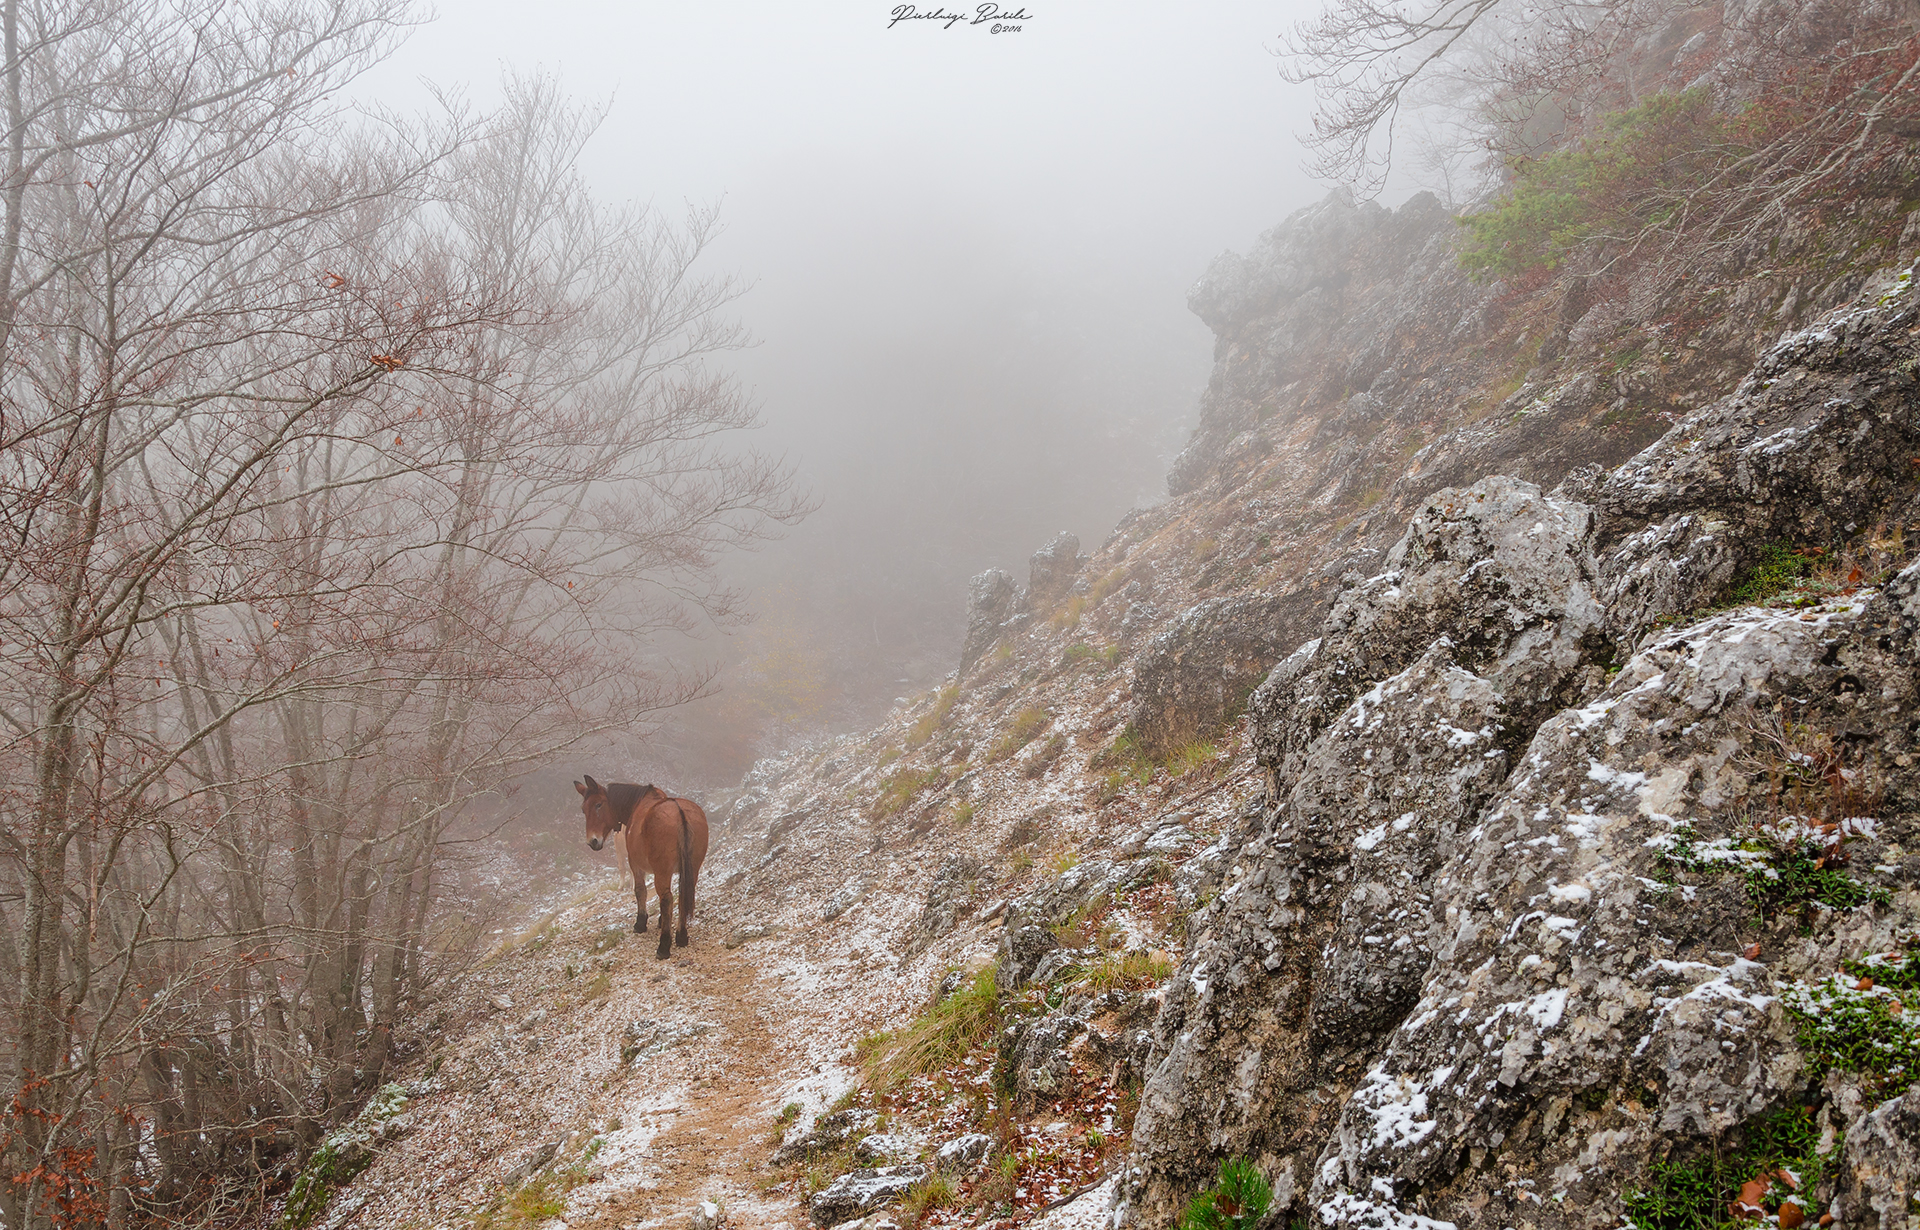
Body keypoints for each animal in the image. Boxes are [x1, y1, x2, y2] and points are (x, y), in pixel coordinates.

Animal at [574, 774, 711, 960]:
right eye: (583, 809)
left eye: (598, 805)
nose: (592, 841)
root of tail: (679, 812)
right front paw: (661, 921)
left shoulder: (635, 863)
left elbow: (640, 891)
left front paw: (640, 922)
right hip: (693, 868)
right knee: (682, 895)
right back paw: (681, 936)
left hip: (662, 871)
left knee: (667, 899)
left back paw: (664, 945)